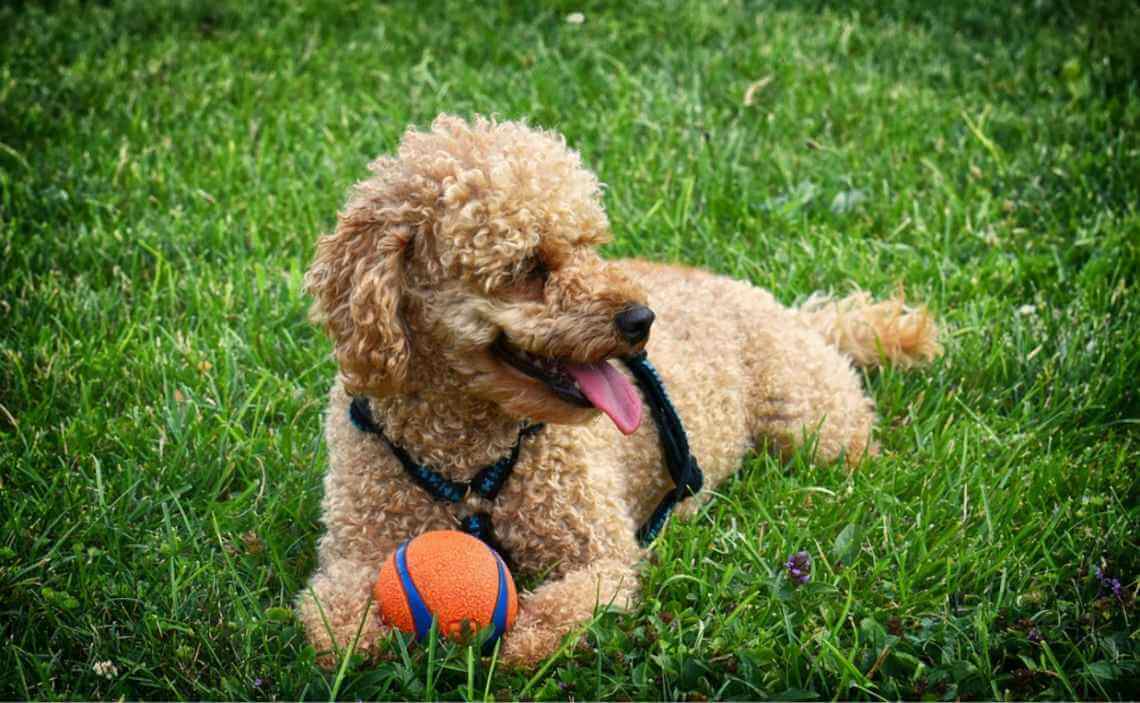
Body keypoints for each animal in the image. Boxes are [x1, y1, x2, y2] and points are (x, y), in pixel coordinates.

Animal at [296, 112, 943, 665]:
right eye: (528, 267)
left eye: (589, 245)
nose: (641, 320)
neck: (471, 460)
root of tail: (791, 314)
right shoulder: (355, 549)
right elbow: (329, 618)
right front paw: (363, 639)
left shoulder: (599, 554)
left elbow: (562, 609)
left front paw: (519, 646)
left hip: (808, 422)